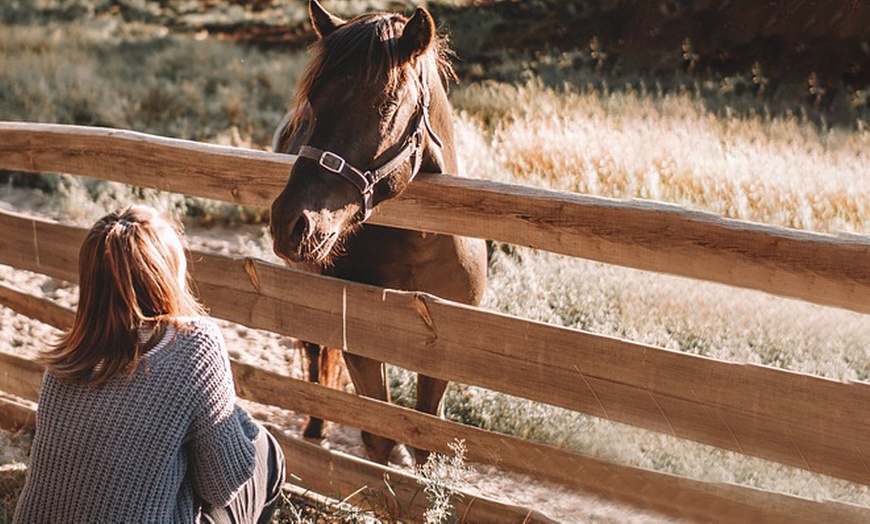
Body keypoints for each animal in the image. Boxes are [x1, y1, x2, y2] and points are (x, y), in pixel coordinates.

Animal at [270, 0, 490, 464]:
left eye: (387, 104)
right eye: (313, 101)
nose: (290, 222)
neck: (420, 244)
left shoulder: (443, 349)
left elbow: (424, 441)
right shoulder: (362, 348)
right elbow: (380, 437)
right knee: (313, 352)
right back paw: (315, 425)